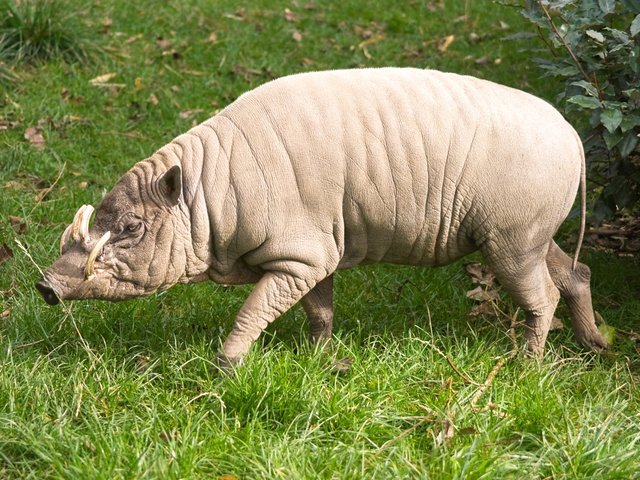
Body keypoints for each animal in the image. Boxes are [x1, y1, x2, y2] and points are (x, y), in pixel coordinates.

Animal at [36, 68, 608, 368]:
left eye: (132, 228)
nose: (46, 285)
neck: (210, 198)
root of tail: (574, 137)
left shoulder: (298, 256)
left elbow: (252, 310)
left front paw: (227, 365)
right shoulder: (318, 254)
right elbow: (320, 311)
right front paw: (316, 358)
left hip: (509, 236)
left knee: (543, 295)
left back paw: (526, 365)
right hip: (531, 233)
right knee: (575, 273)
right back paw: (596, 343)